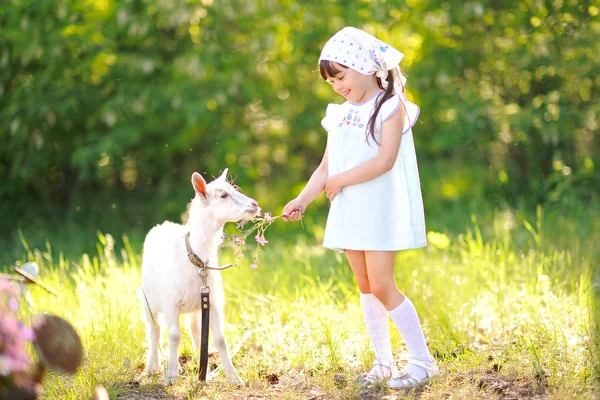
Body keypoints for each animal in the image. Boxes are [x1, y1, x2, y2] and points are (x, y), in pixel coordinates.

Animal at [142, 169, 262, 384]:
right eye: (223, 195)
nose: (254, 204)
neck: (197, 260)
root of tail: (162, 225)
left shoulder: (212, 301)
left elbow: (220, 339)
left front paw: (234, 377)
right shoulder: (170, 303)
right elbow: (174, 336)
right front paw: (171, 375)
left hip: (195, 305)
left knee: (195, 331)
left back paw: (201, 366)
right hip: (147, 300)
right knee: (155, 330)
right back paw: (152, 366)